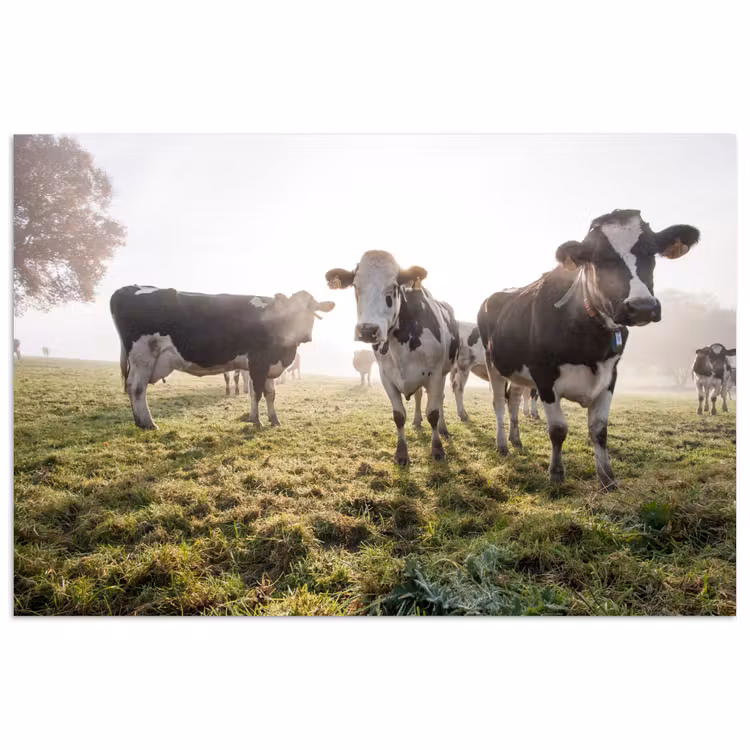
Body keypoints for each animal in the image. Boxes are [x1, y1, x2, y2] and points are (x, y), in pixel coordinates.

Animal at [110, 285, 334, 430]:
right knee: (137, 388)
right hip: (143, 355)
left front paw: (274, 420)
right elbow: (257, 393)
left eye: (313, 311)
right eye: (292, 311)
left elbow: (270, 394)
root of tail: (129, 288)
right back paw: (148, 423)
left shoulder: (269, 365)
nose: (305, 336)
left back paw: (140, 422)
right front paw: (257, 421)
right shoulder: (258, 361)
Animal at [326, 251, 459, 464]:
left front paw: (437, 449)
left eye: (393, 286)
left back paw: (443, 429)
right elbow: (399, 416)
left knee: (439, 399)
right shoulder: (386, 376)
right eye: (355, 286)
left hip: (445, 371)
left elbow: (433, 413)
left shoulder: (435, 374)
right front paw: (401, 453)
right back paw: (416, 421)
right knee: (419, 396)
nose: (368, 330)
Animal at [478, 209, 700, 489]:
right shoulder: (544, 375)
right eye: (599, 258)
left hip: (518, 370)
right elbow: (558, 429)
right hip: (493, 363)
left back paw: (516, 440)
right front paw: (556, 473)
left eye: (650, 251)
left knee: (514, 400)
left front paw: (607, 478)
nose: (642, 307)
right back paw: (503, 445)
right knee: (498, 402)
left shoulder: (610, 375)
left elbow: (599, 429)